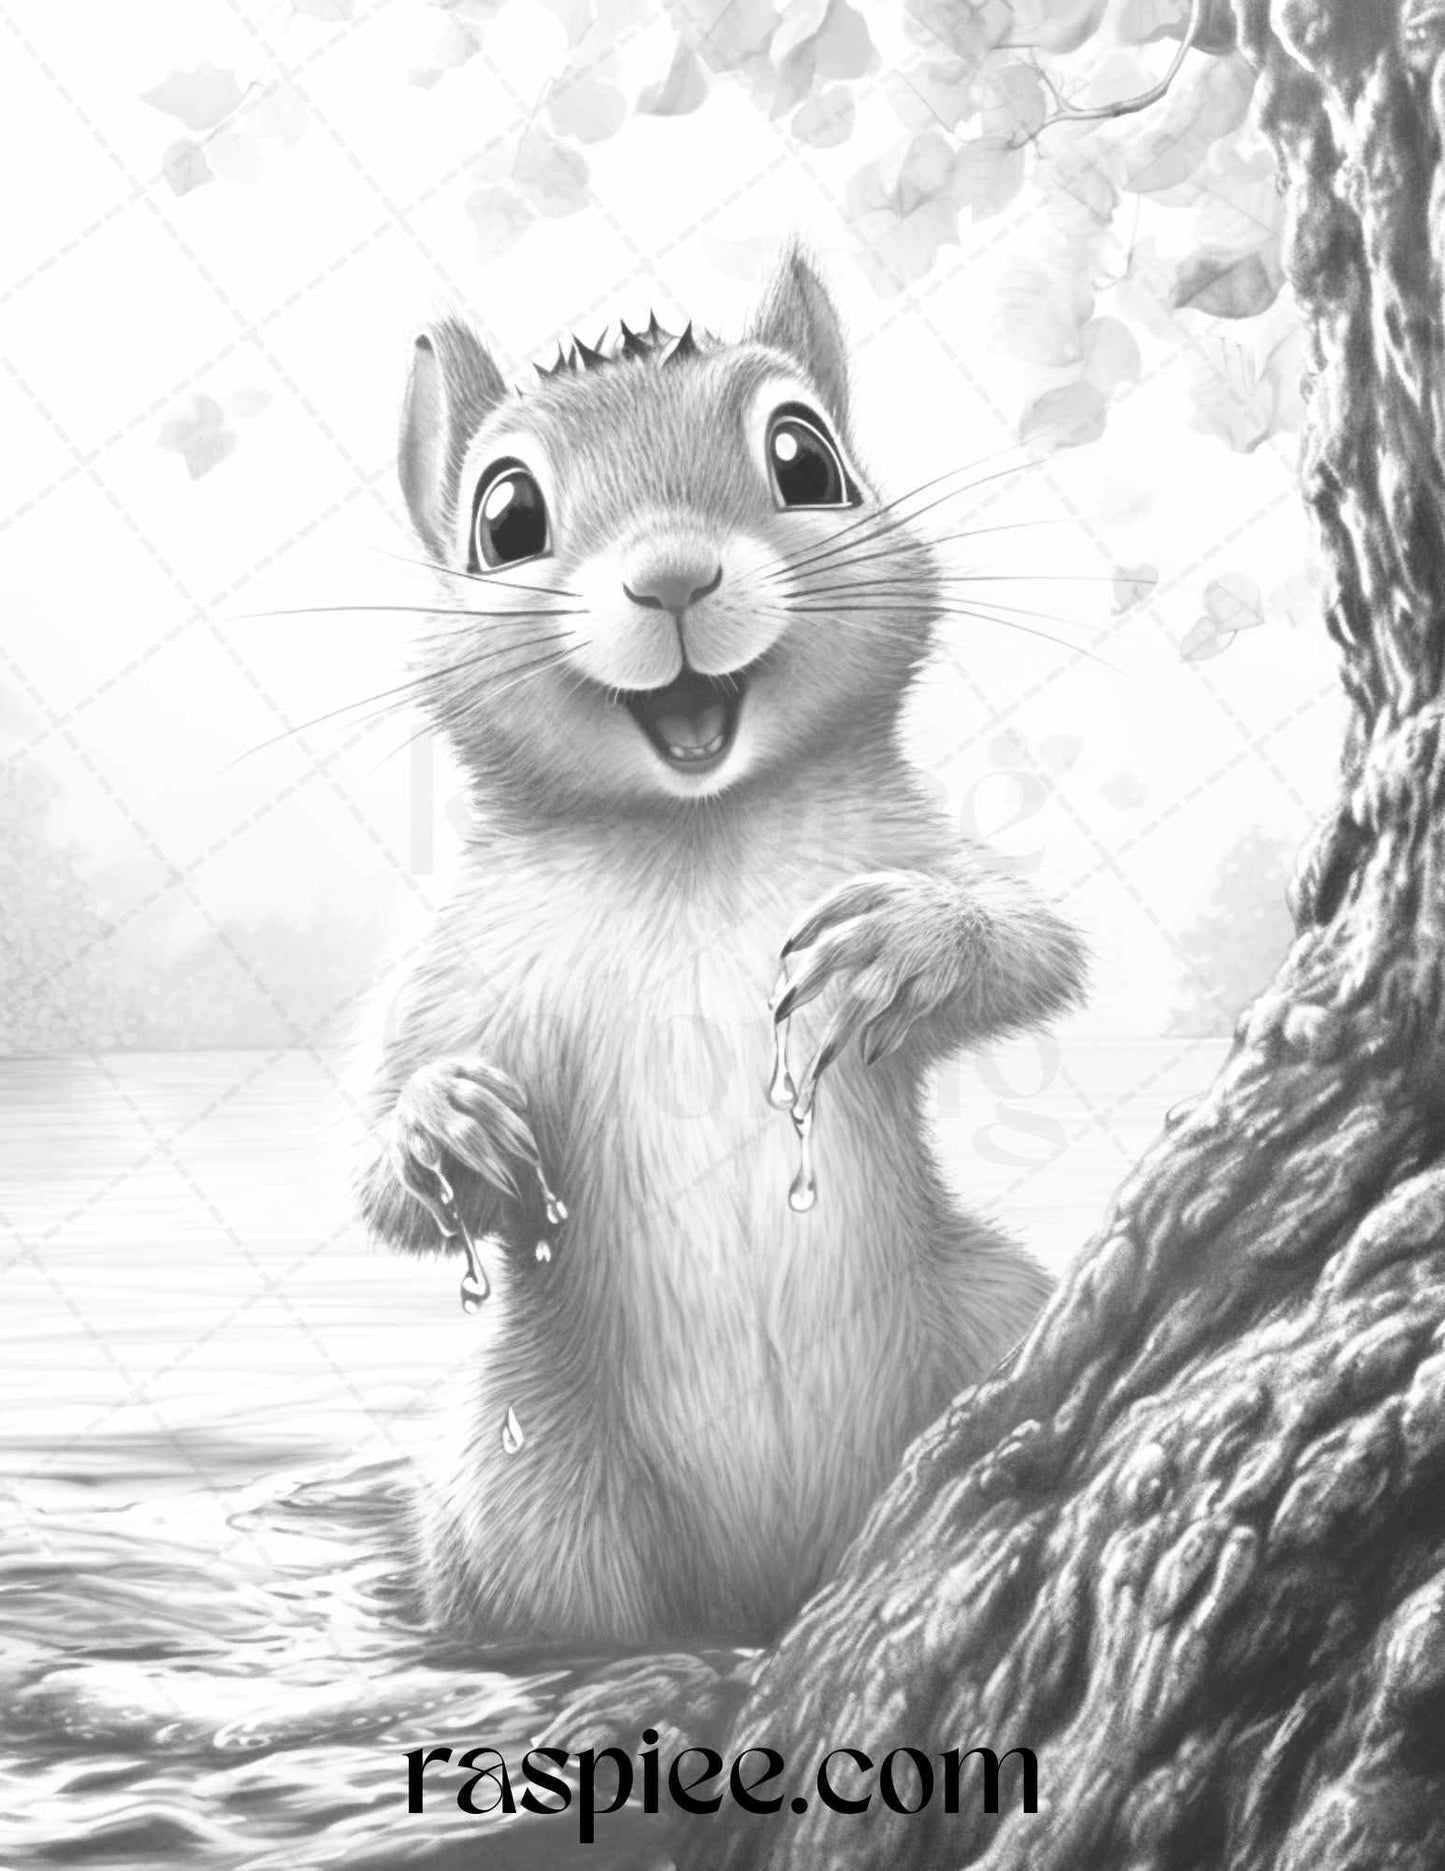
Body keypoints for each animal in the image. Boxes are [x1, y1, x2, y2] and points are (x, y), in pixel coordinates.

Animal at [354, 244, 1087, 1647]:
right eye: (504, 518)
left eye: (805, 458)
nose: (674, 577)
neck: (695, 832)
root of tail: (758, 1589)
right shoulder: (461, 956)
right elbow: (381, 1184)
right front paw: (442, 1125)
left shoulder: (909, 833)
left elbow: (1037, 940)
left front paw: (895, 946)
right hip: (524, 1475)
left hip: (989, 1318)